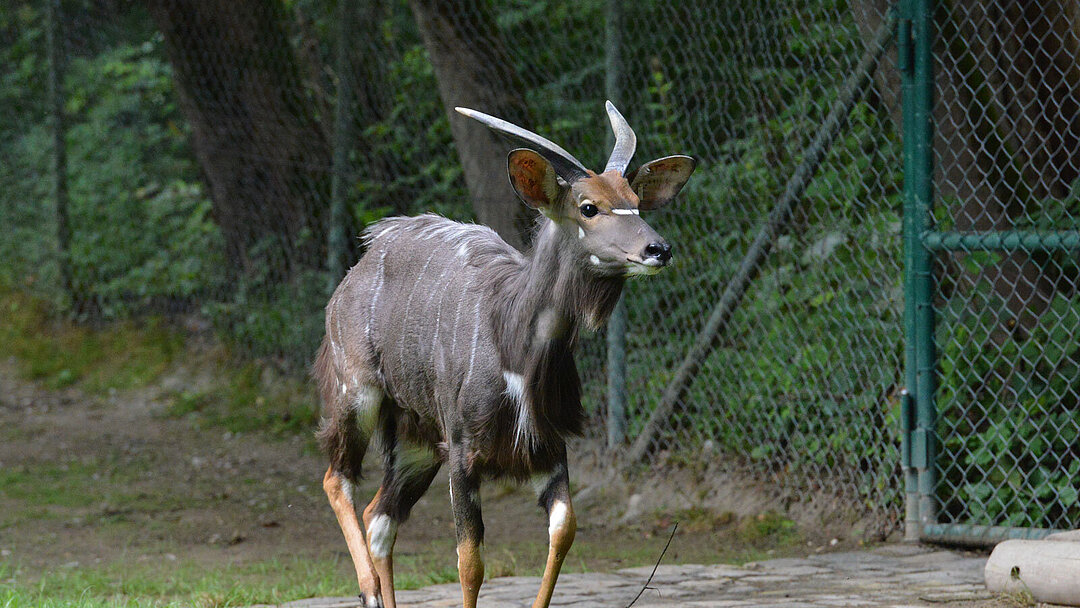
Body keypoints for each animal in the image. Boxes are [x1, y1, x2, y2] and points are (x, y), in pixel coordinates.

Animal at [313, 102, 695, 604]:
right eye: (588, 207)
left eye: (634, 197)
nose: (658, 248)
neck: (512, 337)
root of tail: (353, 274)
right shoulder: (463, 450)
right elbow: (470, 561)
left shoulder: (547, 447)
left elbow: (564, 530)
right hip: (357, 395)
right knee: (337, 479)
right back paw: (368, 588)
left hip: (418, 438)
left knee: (380, 516)